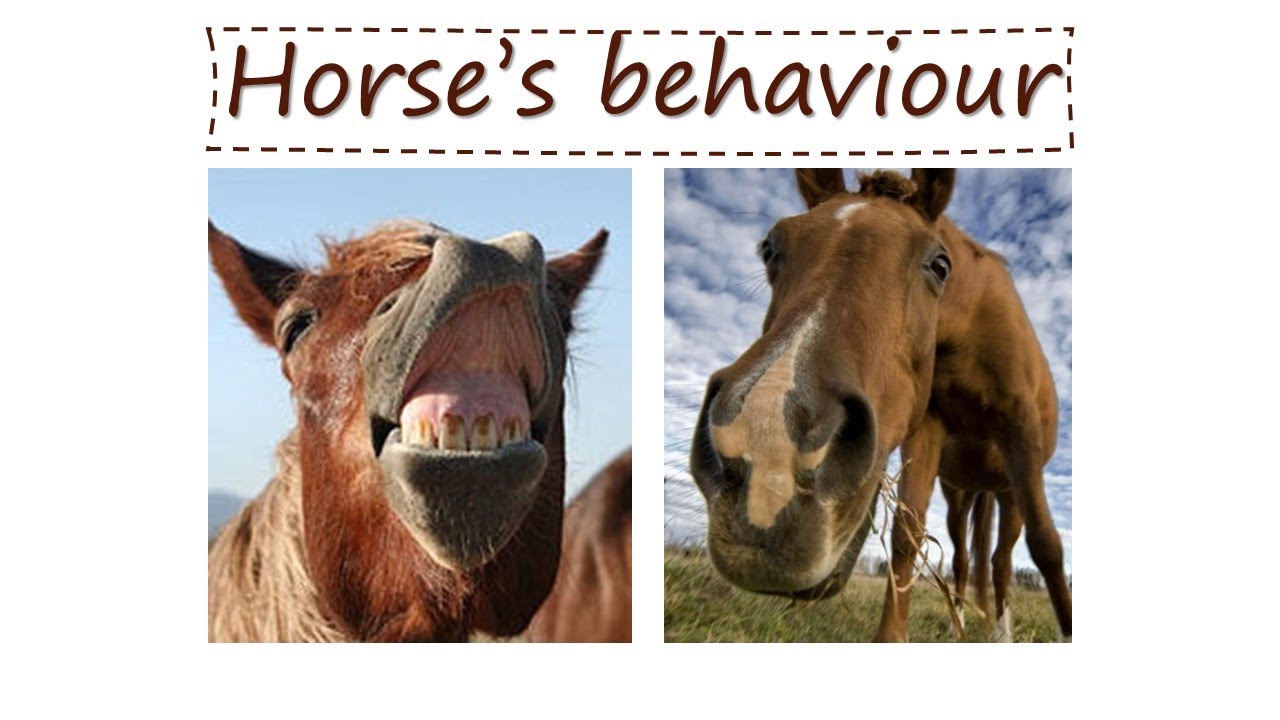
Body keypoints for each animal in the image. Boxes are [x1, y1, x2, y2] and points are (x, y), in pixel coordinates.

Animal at [688, 168, 1071, 642]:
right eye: (770, 249)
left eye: (940, 265)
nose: (768, 455)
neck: (969, 327)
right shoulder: (926, 430)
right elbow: (907, 537)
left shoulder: (1021, 432)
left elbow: (1047, 544)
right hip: (961, 493)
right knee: (966, 557)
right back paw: (960, 622)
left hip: (1009, 490)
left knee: (1001, 559)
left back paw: (1000, 631)